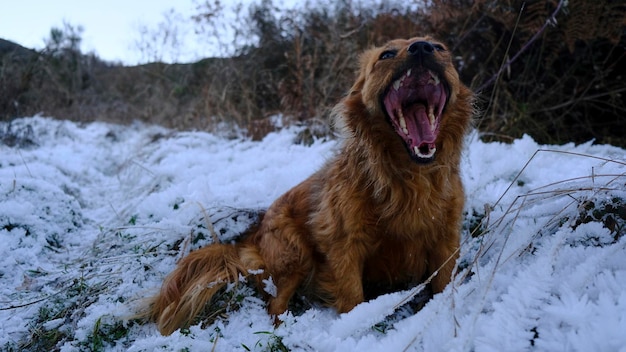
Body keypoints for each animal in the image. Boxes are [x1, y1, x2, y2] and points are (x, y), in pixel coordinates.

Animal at [147, 36, 468, 336]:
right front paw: (355, 330)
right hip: (294, 255)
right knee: (274, 305)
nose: (422, 47)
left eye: (440, 48)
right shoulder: (343, 246)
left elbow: (443, 283)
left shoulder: (446, 240)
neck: (409, 177)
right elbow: (352, 298)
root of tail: (249, 240)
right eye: (386, 54)